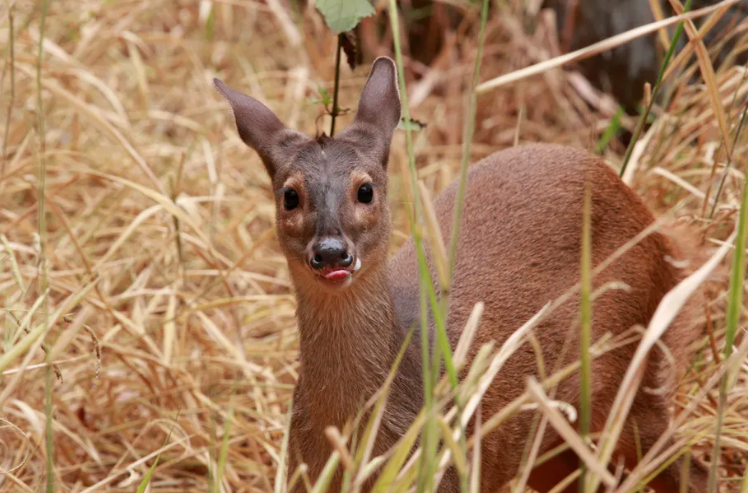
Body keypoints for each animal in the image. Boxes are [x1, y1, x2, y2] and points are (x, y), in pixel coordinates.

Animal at [215, 57, 708, 492]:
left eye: (365, 189)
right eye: (290, 195)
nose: (332, 253)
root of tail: (665, 240)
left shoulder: (448, 468)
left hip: (628, 372)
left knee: (694, 470)